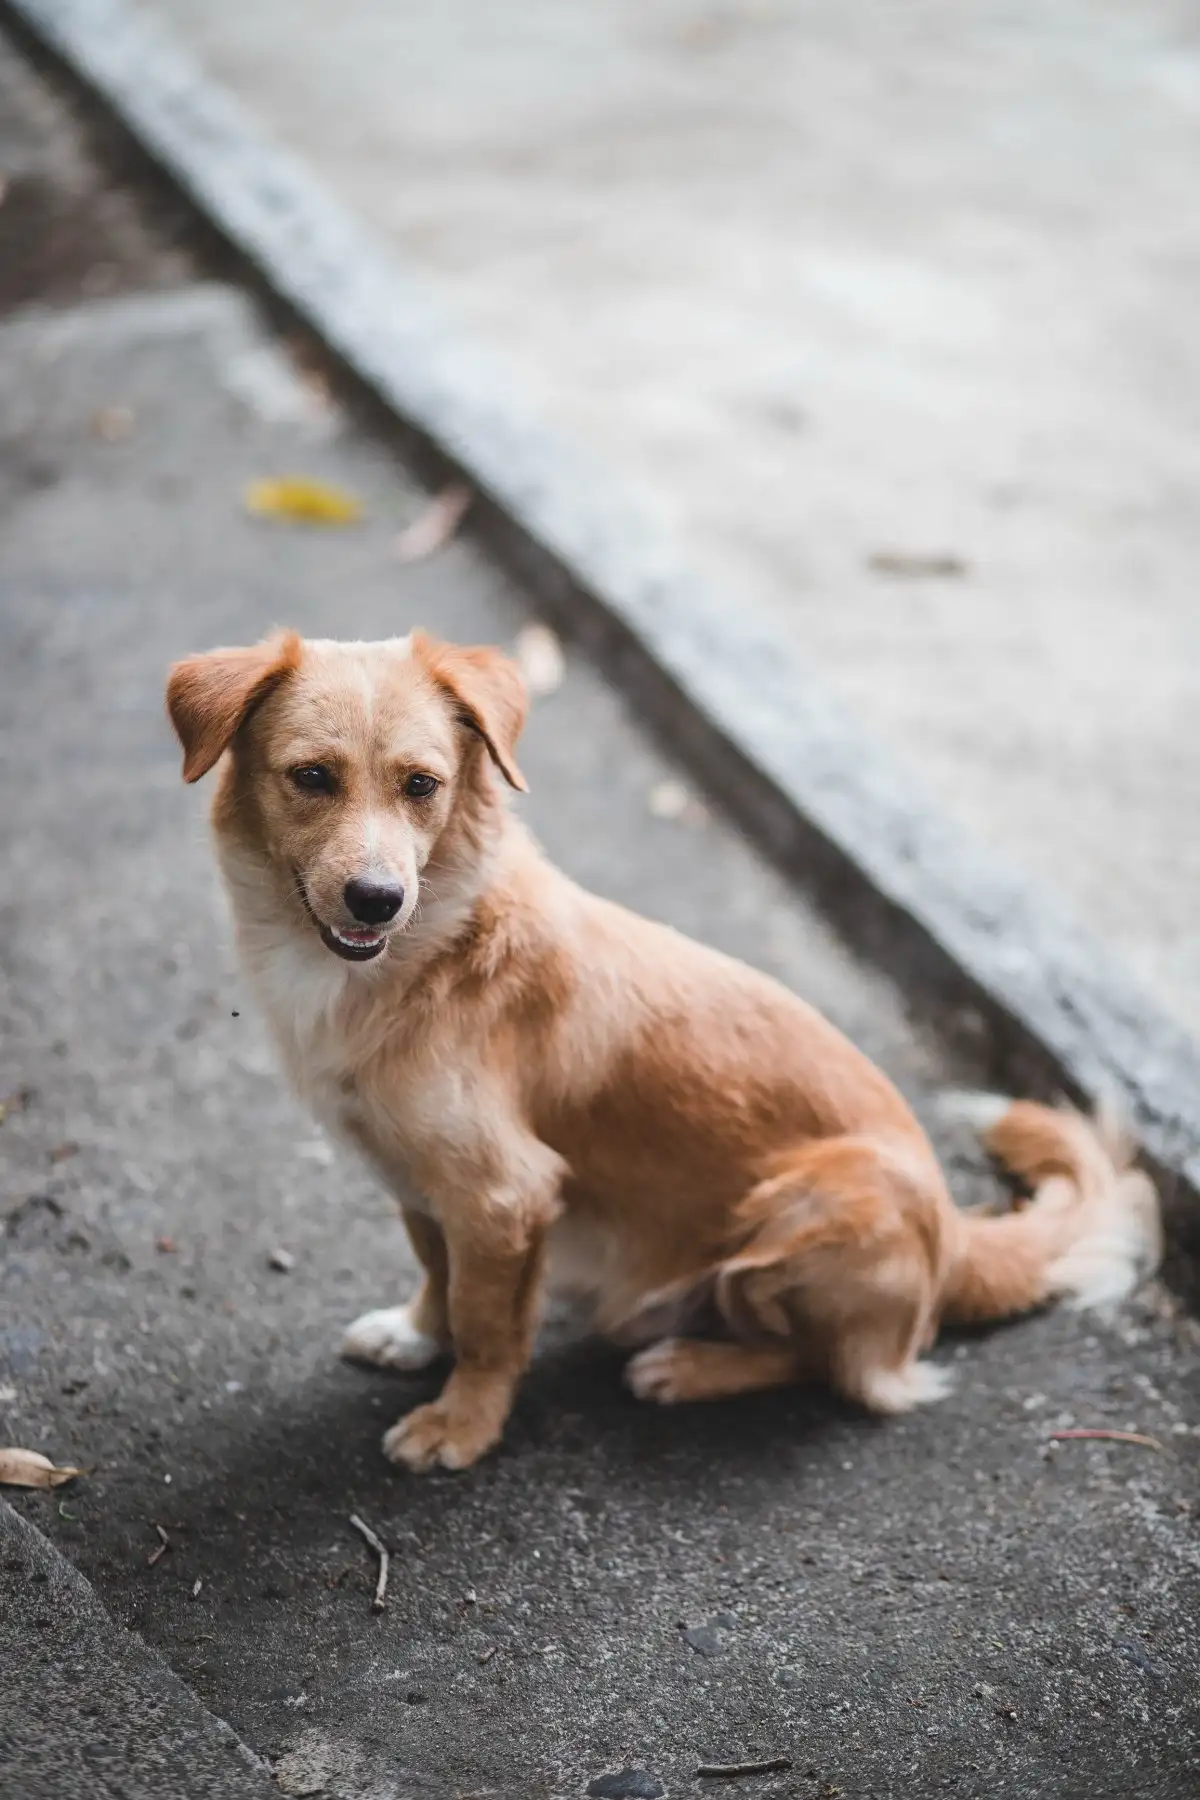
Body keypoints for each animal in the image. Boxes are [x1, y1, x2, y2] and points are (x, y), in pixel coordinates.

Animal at [164, 626, 1158, 1468]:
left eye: (421, 785)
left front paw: (464, 1422)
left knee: (836, 1369)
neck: (430, 949)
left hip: (806, 1212)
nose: (377, 899)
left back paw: (691, 1364)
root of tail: (955, 1237)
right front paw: (417, 1332)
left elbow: (487, 1325)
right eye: (312, 777)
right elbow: (438, 1273)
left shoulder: (504, 1193)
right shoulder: (418, 1177)